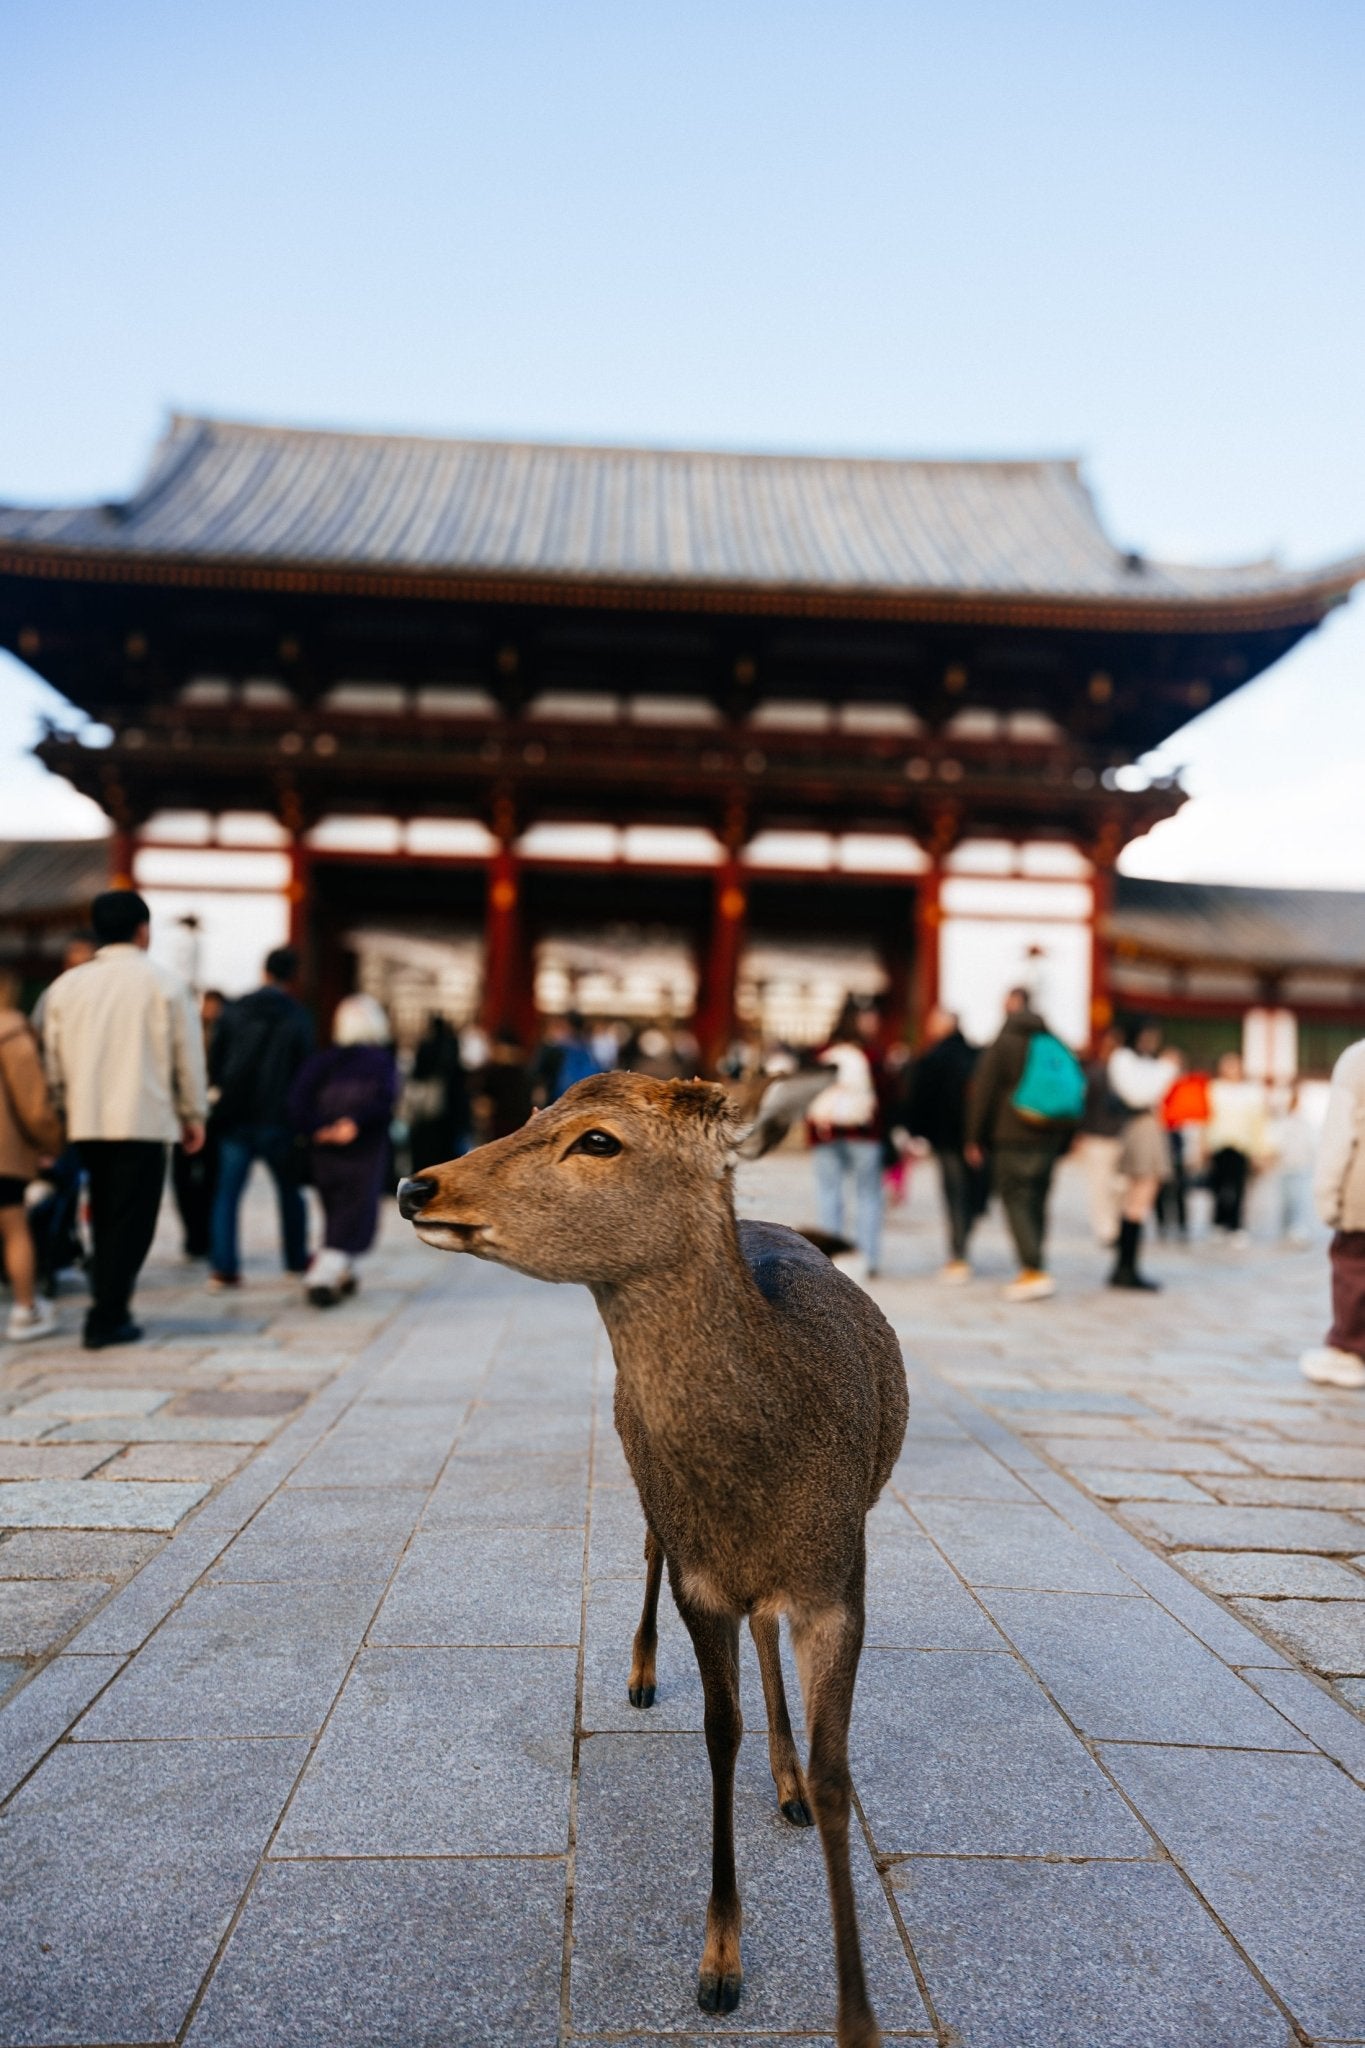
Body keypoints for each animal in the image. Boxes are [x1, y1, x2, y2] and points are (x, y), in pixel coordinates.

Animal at [397, 1069, 908, 2048]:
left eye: (597, 1139)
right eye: (533, 1112)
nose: (415, 1185)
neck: (761, 1481)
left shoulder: (840, 1578)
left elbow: (837, 1777)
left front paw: (857, 2018)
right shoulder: (697, 1579)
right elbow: (717, 1733)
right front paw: (718, 1966)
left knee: (764, 1627)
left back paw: (784, 1783)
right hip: (640, 1480)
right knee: (644, 1550)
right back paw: (639, 1675)